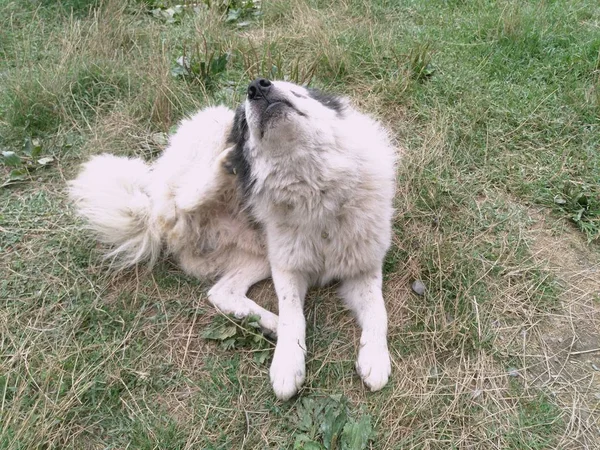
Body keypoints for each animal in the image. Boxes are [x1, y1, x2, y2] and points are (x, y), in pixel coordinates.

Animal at [69, 79, 398, 400]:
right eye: (243, 125)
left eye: (297, 91)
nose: (257, 86)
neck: (315, 192)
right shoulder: (287, 270)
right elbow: (293, 315)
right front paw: (287, 365)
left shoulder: (363, 268)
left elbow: (378, 311)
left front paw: (375, 361)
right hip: (210, 128)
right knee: (181, 202)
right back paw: (226, 163)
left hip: (258, 254)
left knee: (220, 292)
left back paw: (268, 323)